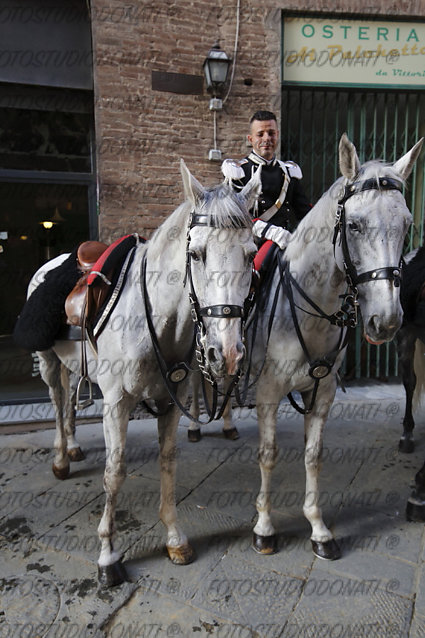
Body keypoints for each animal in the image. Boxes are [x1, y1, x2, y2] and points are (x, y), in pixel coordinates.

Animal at [27, 162, 258, 588]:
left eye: (251, 255)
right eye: (196, 254)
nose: (227, 352)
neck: (156, 318)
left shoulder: (170, 401)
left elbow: (168, 462)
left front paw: (174, 538)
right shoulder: (117, 402)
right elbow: (114, 471)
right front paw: (107, 555)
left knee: (69, 402)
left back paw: (73, 447)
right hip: (48, 361)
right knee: (55, 401)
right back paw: (61, 459)